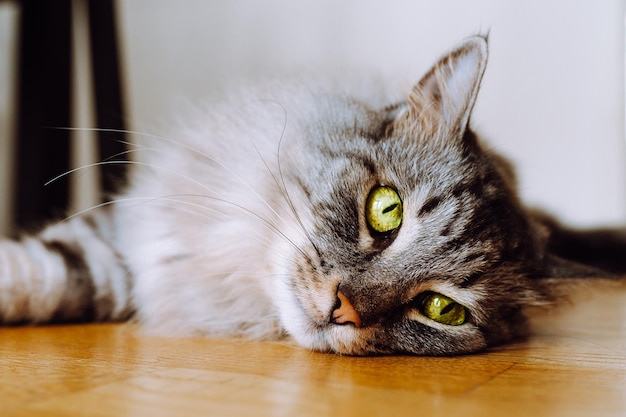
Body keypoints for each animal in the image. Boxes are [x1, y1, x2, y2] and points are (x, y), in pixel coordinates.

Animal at [1, 34, 624, 356]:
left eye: (442, 309)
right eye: (386, 210)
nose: (340, 308)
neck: (231, 267)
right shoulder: (123, 240)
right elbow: (35, 272)